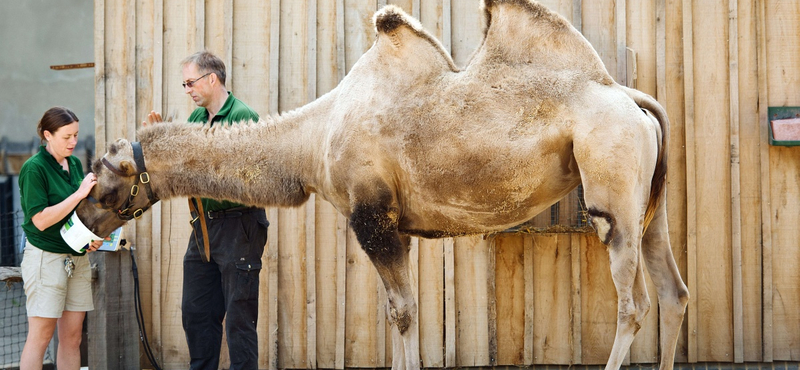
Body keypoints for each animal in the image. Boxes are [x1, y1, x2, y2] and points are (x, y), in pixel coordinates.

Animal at [79, 1, 688, 368]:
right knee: (673, 290)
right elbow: (404, 310)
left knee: (634, 301)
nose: (81, 220)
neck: (310, 141)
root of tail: (633, 99)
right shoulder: (399, 224)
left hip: (610, 185)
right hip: (648, 204)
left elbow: (402, 312)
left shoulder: (371, 216)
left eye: (104, 183)